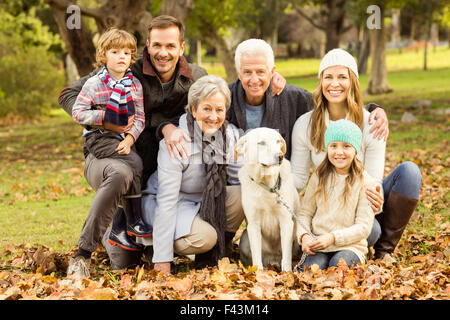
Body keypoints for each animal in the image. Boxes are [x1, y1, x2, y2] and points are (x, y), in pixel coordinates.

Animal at [234, 127, 300, 270]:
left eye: (277, 141)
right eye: (261, 143)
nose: (280, 156)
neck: (267, 186)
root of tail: (272, 260)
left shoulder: (286, 222)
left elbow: (286, 257)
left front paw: (287, 272)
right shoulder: (253, 225)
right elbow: (256, 256)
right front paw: (258, 272)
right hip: (245, 237)